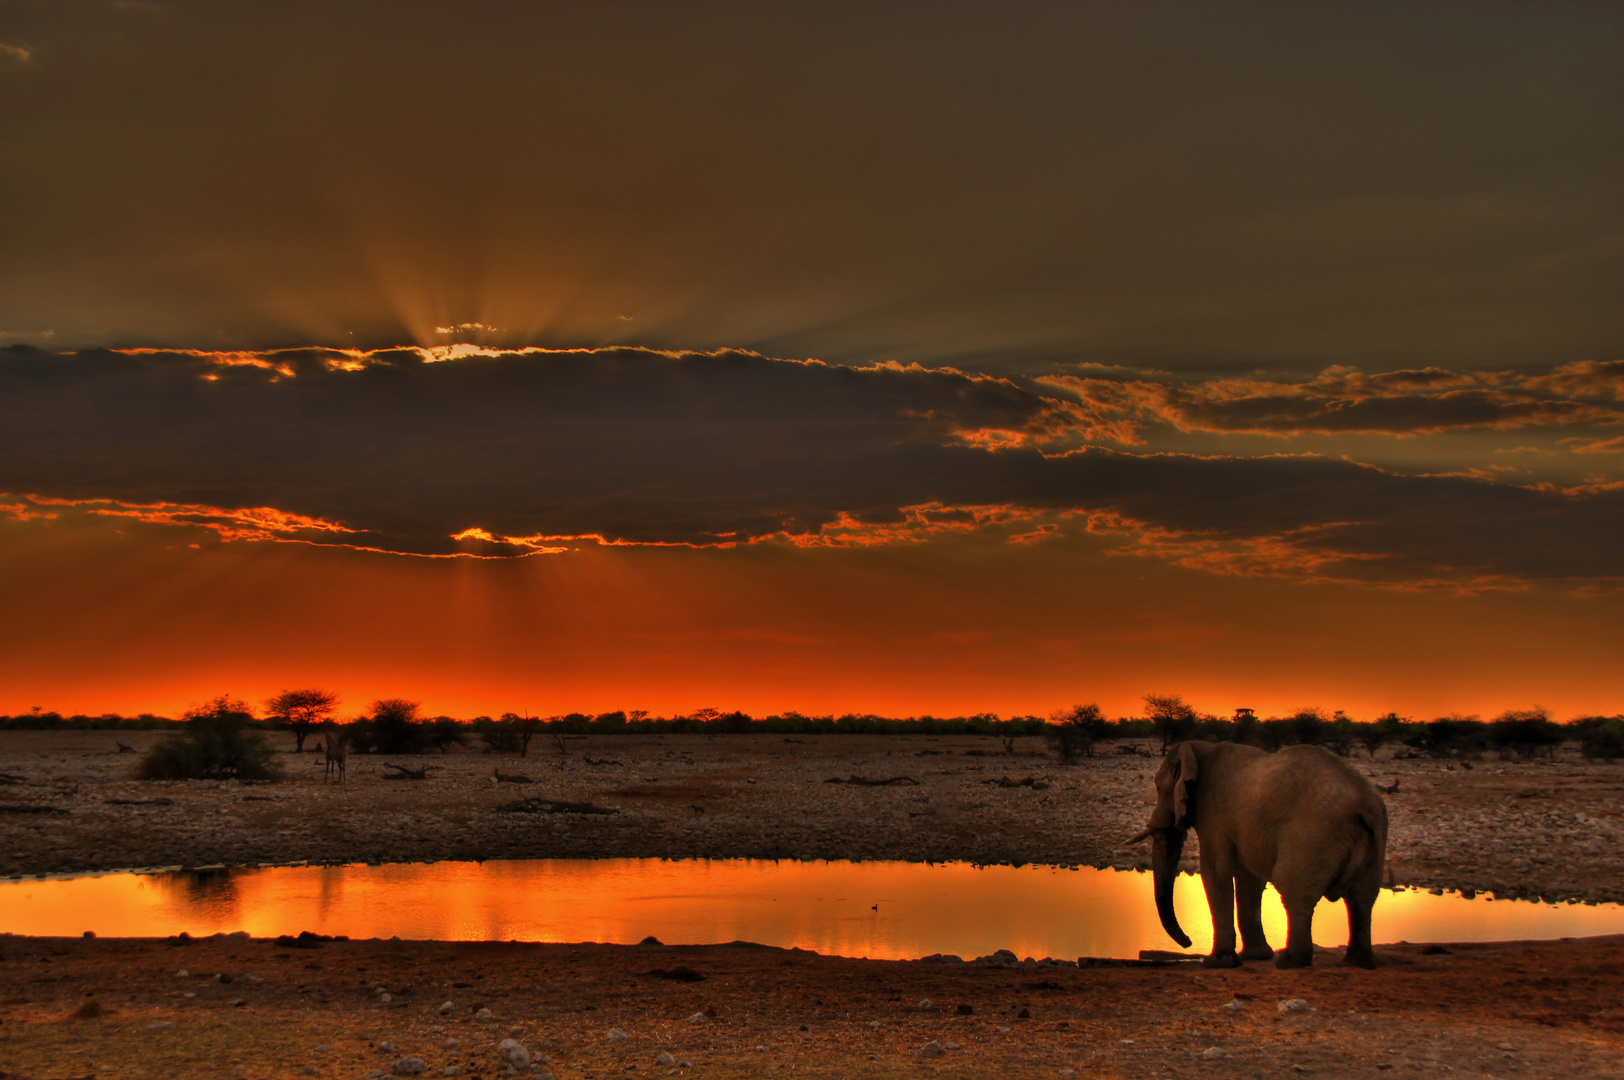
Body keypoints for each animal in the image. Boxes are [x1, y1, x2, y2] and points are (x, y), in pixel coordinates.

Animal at [1136, 737, 1390, 961]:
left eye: (1158, 788)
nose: (1188, 942)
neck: (1199, 748)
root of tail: (1367, 804)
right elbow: (1249, 878)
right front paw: (1255, 957)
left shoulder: (1213, 814)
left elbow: (1215, 872)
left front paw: (1218, 961)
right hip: (1372, 839)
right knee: (1362, 897)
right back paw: (1357, 961)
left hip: (1313, 835)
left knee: (1295, 890)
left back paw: (1290, 962)